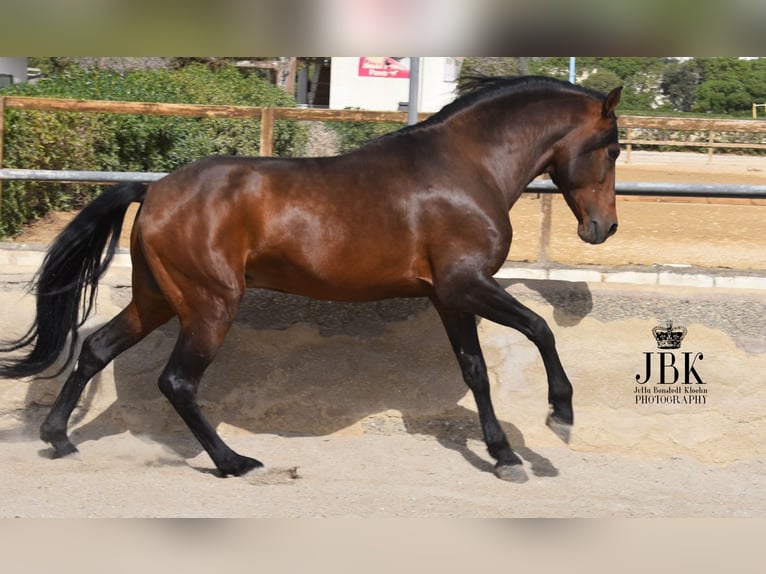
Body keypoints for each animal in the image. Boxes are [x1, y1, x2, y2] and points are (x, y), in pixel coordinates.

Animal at [1, 74, 624, 484]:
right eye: (613, 148)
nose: (603, 228)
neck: (467, 167)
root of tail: (153, 190)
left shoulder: (449, 297)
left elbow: (476, 373)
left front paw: (504, 456)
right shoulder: (466, 285)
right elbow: (540, 328)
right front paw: (560, 416)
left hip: (158, 301)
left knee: (95, 349)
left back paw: (58, 438)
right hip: (210, 306)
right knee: (177, 381)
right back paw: (235, 463)